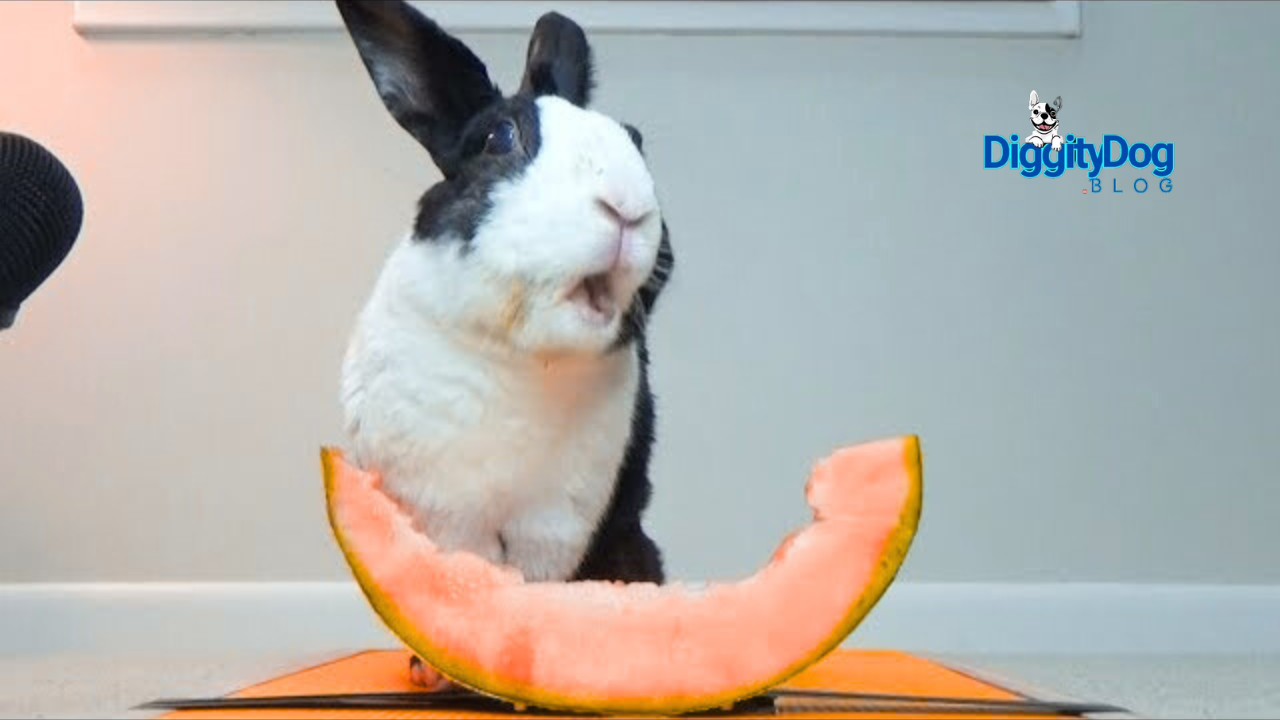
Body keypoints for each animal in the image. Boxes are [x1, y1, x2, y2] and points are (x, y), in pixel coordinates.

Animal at [332, 0, 675, 690]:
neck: (517, 357)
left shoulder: (556, 520)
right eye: (498, 139)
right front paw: (440, 672)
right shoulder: (438, 510)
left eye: (635, 141)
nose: (627, 208)